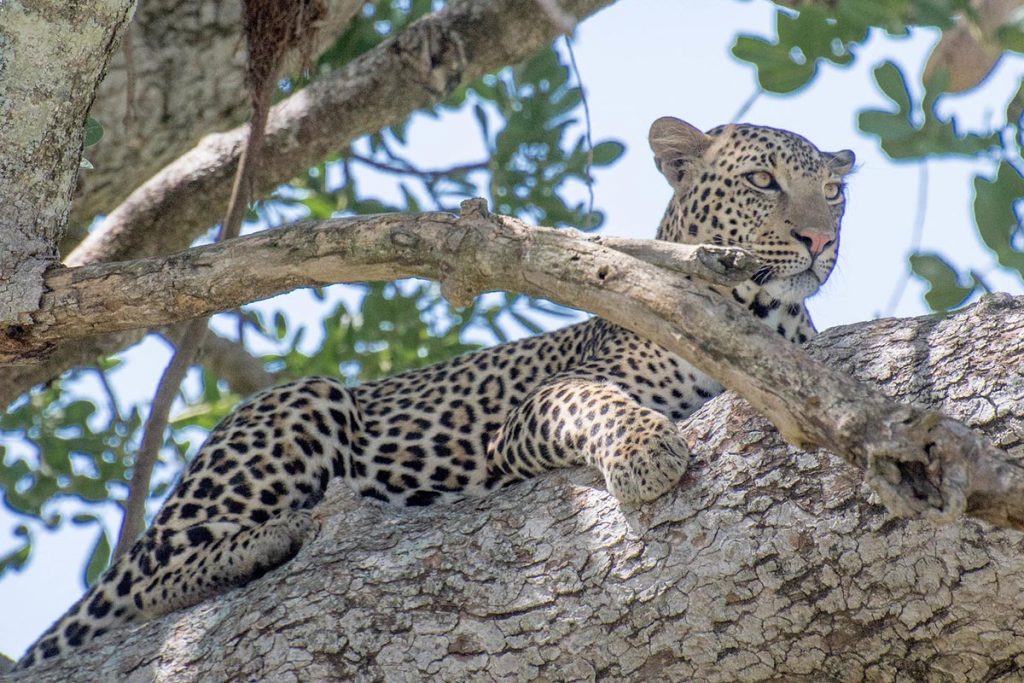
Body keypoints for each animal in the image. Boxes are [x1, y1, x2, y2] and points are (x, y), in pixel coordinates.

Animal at [16, 117, 856, 667]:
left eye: (834, 193)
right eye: (761, 181)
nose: (818, 239)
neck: (764, 316)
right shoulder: (530, 414)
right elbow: (595, 401)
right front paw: (648, 448)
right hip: (300, 404)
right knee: (150, 584)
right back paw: (270, 536)